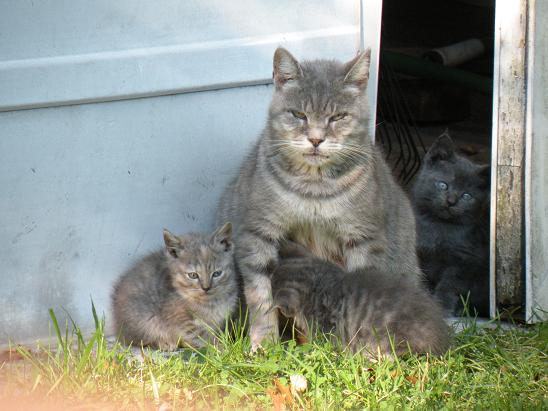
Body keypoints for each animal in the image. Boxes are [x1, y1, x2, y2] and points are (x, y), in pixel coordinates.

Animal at [110, 224, 239, 350]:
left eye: (217, 273)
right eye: (193, 275)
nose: (206, 288)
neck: (211, 302)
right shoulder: (181, 318)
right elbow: (202, 335)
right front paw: (223, 348)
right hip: (146, 320)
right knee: (136, 340)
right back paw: (164, 343)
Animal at [217, 46, 420, 350]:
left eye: (338, 117)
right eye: (299, 114)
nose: (315, 139)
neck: (314, 188)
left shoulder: (364, 237)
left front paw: (356, 348)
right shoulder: (258, 233)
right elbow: (261, 297)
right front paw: (265, 343)